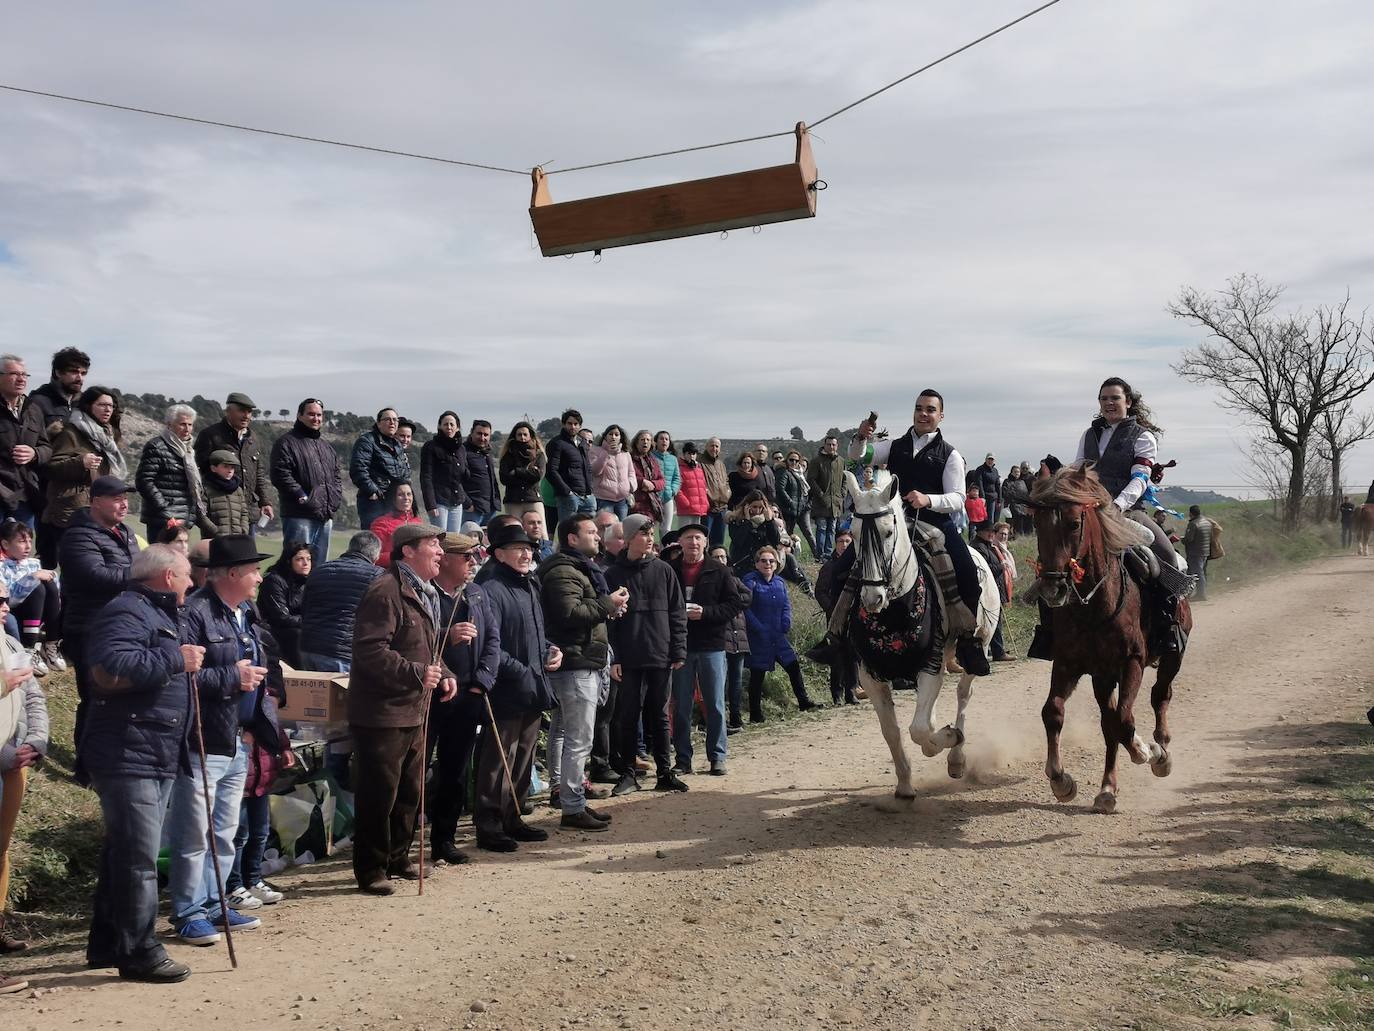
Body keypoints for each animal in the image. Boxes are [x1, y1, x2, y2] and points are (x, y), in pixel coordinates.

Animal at [840, 470, 1005, 797]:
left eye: (888, 531)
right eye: (853, 531)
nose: (873, 598)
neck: (894, 616)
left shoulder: (930, 666)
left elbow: (919, 730)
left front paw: (947, 740)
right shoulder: (871, 675)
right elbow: (893, 731)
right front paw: (904, 785)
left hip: (977, 646)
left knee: (963, 695)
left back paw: (956, 757)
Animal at [1033, 467, 1192, 813]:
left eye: (1074, 523)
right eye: (1036, 523)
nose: (1053, 588)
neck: (1095, 606)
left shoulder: (1131, 663)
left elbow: (1124, 719)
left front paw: (1147, 752)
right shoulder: (1069, 664)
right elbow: (1053, 712)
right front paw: (1061, 780)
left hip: (1171, 658)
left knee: (1159, 696)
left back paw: (1161, 751)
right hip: (1102, 678)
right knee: (1109, 726)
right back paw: (1107, 788)